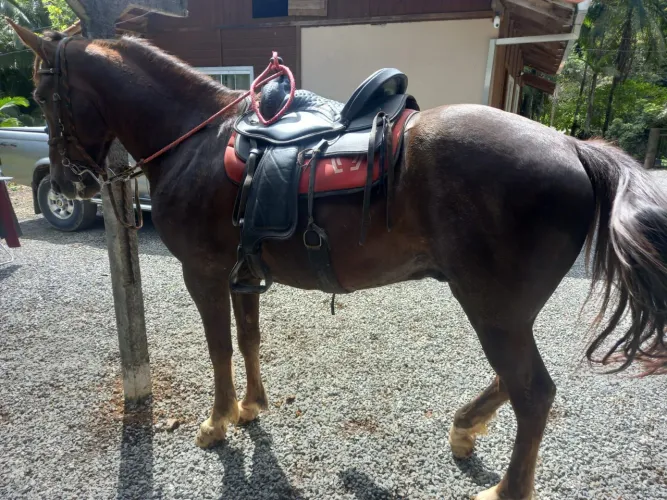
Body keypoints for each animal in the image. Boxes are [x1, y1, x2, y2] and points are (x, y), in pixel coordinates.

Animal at [8, 21, 667, 500]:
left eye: (42, 92)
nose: (68, 182)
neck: (194, 140)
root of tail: (573, 146)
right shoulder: (243, 276)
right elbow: (248, 341)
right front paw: (251, 408)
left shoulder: (205, 273)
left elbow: (219, 349)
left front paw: (217, 422)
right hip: (504, 309)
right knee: (515, 381)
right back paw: (465, 428)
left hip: (493, 307)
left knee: (533, 392)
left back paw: (506, 488)